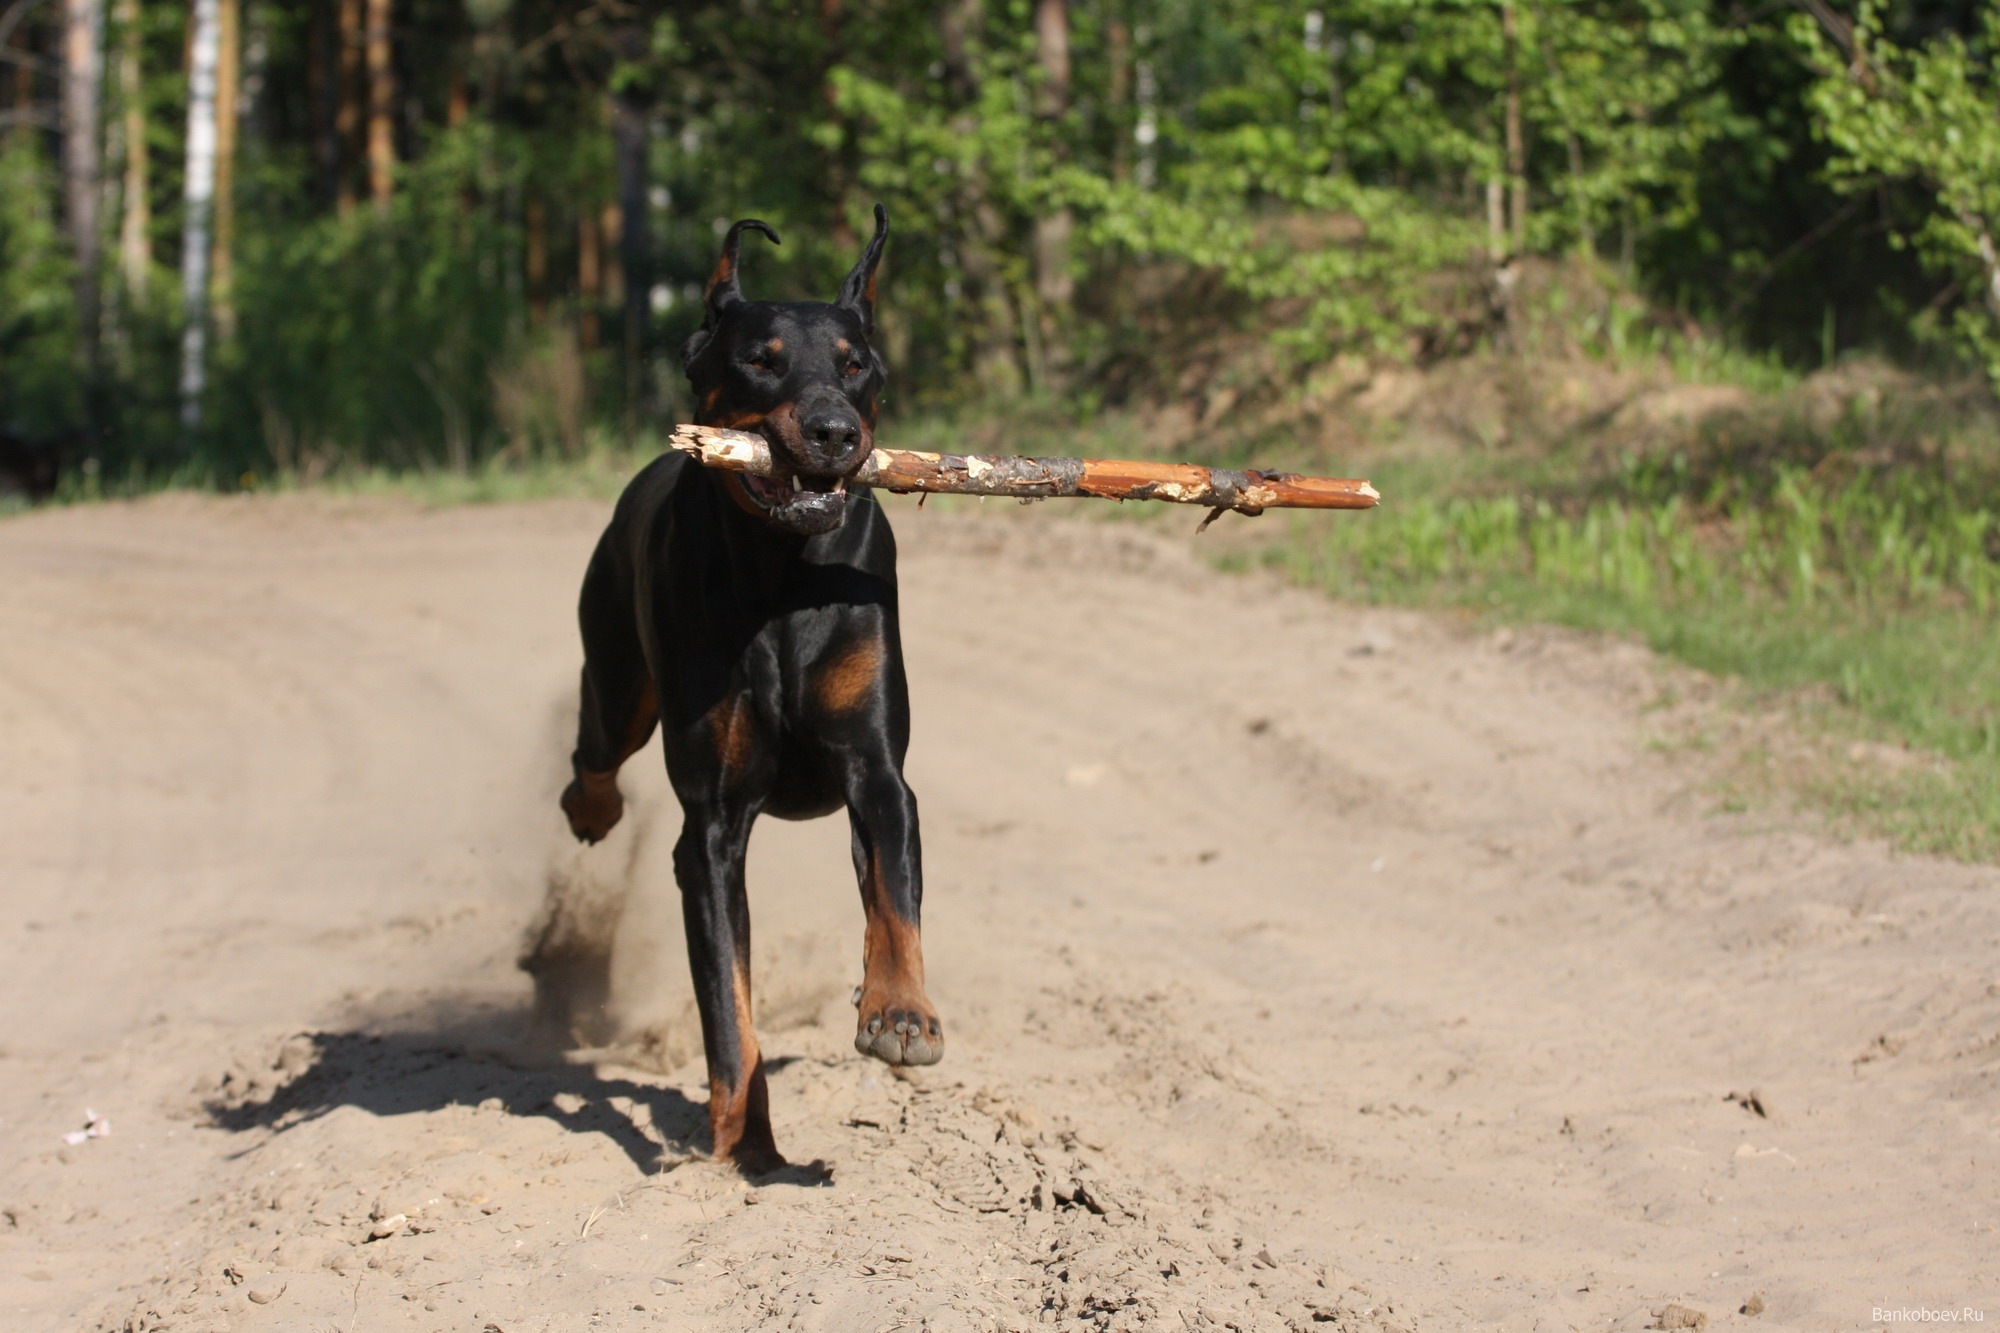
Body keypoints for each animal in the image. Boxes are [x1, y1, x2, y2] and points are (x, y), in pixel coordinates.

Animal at [560, 202, 940, 1168]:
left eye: (855, 364)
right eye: (761, 358)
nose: (836, 429)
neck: (781, 574)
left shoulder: (876, 769)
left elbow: (894, 899)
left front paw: (900, 1014)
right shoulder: (714, 822)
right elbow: (728, 1006)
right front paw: (742, 1145)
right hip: (619, 673)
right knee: (595, 745)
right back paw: (589, 808)